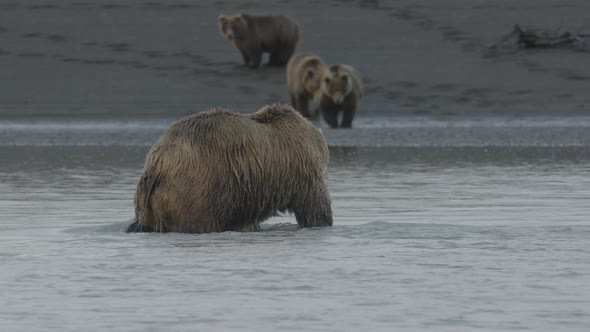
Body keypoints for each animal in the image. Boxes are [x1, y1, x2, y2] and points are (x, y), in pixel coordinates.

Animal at [128, 104, 336, 233]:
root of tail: (159, 160)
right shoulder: (303, 170)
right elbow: (315, 207)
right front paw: (322, 222)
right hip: (195, 189)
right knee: (200, 220)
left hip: (150, 200)